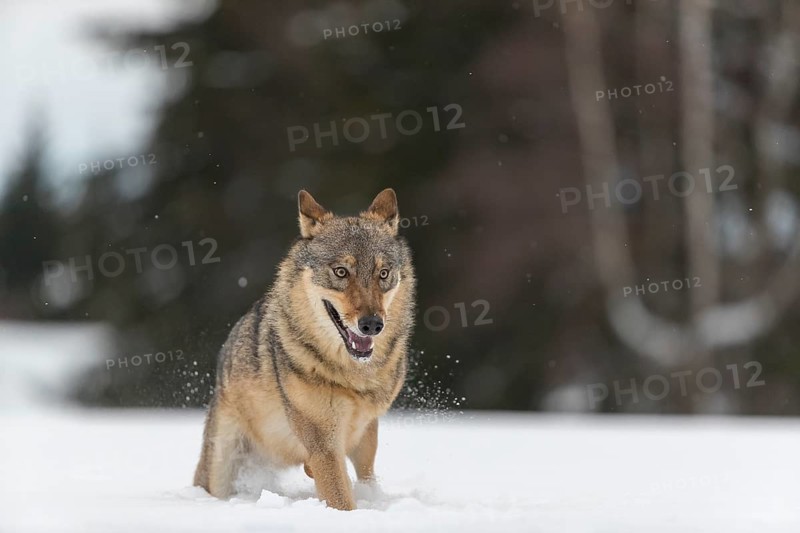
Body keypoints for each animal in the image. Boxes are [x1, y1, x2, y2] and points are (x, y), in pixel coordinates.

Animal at [193, 188, 416, 510]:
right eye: (341, 272)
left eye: (383, 274)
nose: (372, 325)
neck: (353, 376)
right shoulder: (324, 444)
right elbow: (340, 500)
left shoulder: (365, 433)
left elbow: (365, 476)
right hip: (222, 462)